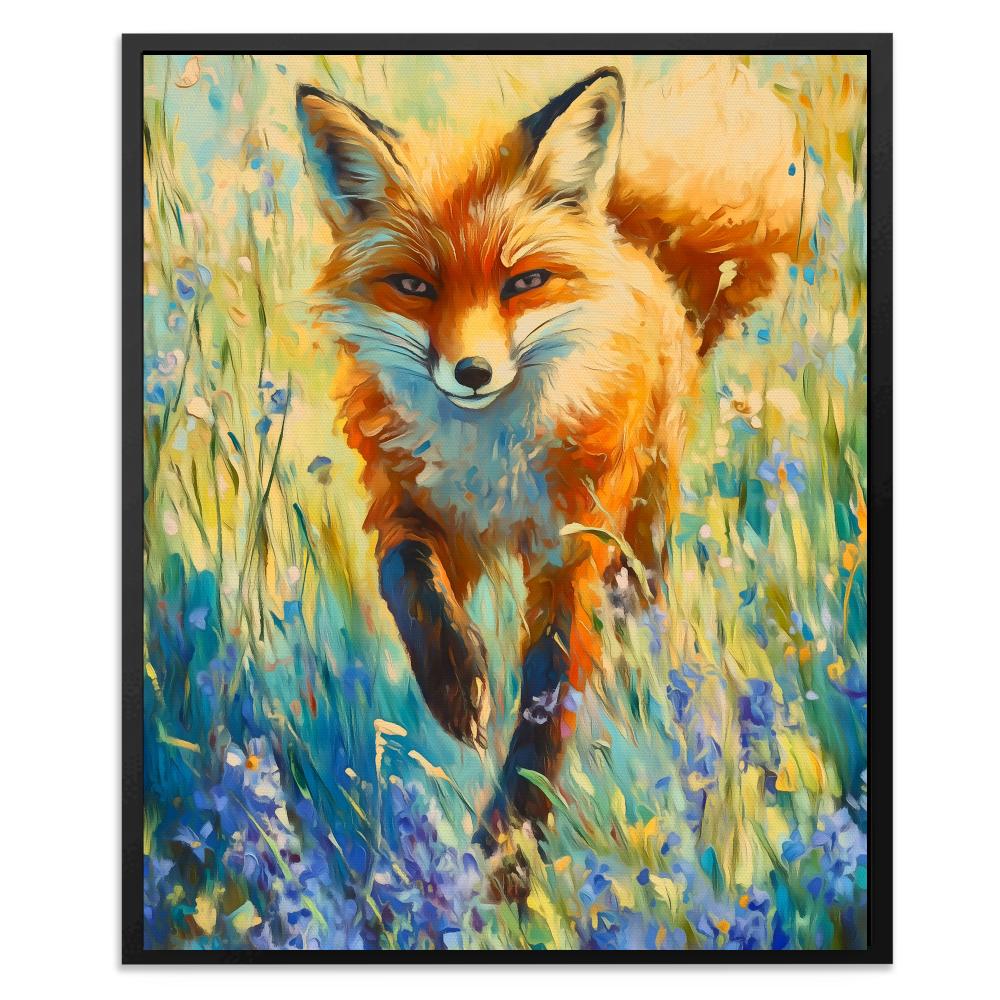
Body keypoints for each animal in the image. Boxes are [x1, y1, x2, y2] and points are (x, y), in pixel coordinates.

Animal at [296, 59, 815, 846]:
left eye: (524, 283)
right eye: (414, 286)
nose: (472, 371)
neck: (491, 460)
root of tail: (634, 247)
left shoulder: (574, 548)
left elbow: (550, 696)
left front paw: (510, 847)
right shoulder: (408, 503)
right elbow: (408, 582)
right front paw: (456, 684)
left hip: (642, 523)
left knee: (639, 610)